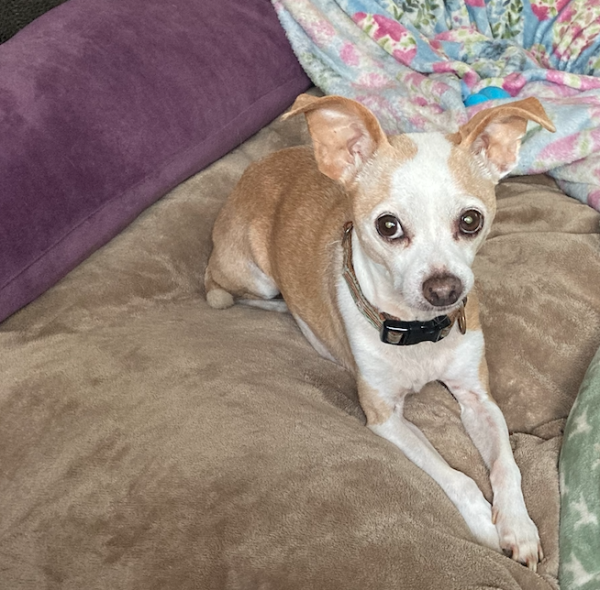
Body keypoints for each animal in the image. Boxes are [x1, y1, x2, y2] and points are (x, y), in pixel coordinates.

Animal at [204, 95, 556, 572]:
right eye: (388, 227)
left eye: (471, 220)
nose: (445, 289)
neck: (420, 333)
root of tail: (253, 170)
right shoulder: (385, 418)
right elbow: (455, 476)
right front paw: (485, 522)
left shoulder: (477, 398)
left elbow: (506, 464)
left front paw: (517, 526)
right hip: (248, 277)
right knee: (221, 291)